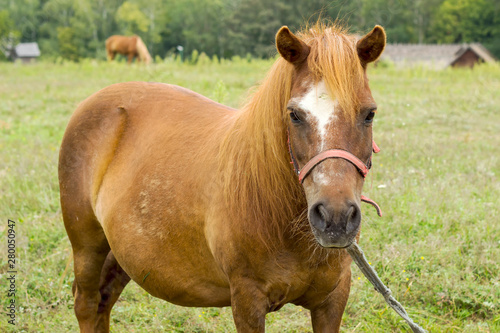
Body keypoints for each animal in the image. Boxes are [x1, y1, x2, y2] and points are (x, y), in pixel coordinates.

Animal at [58, 22, 386, 330]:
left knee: (104, 299)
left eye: (369, 113)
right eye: (294, 114)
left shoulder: (332, 299)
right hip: (87, 246)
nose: (335, 218)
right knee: (86, 304)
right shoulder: (247, 300)